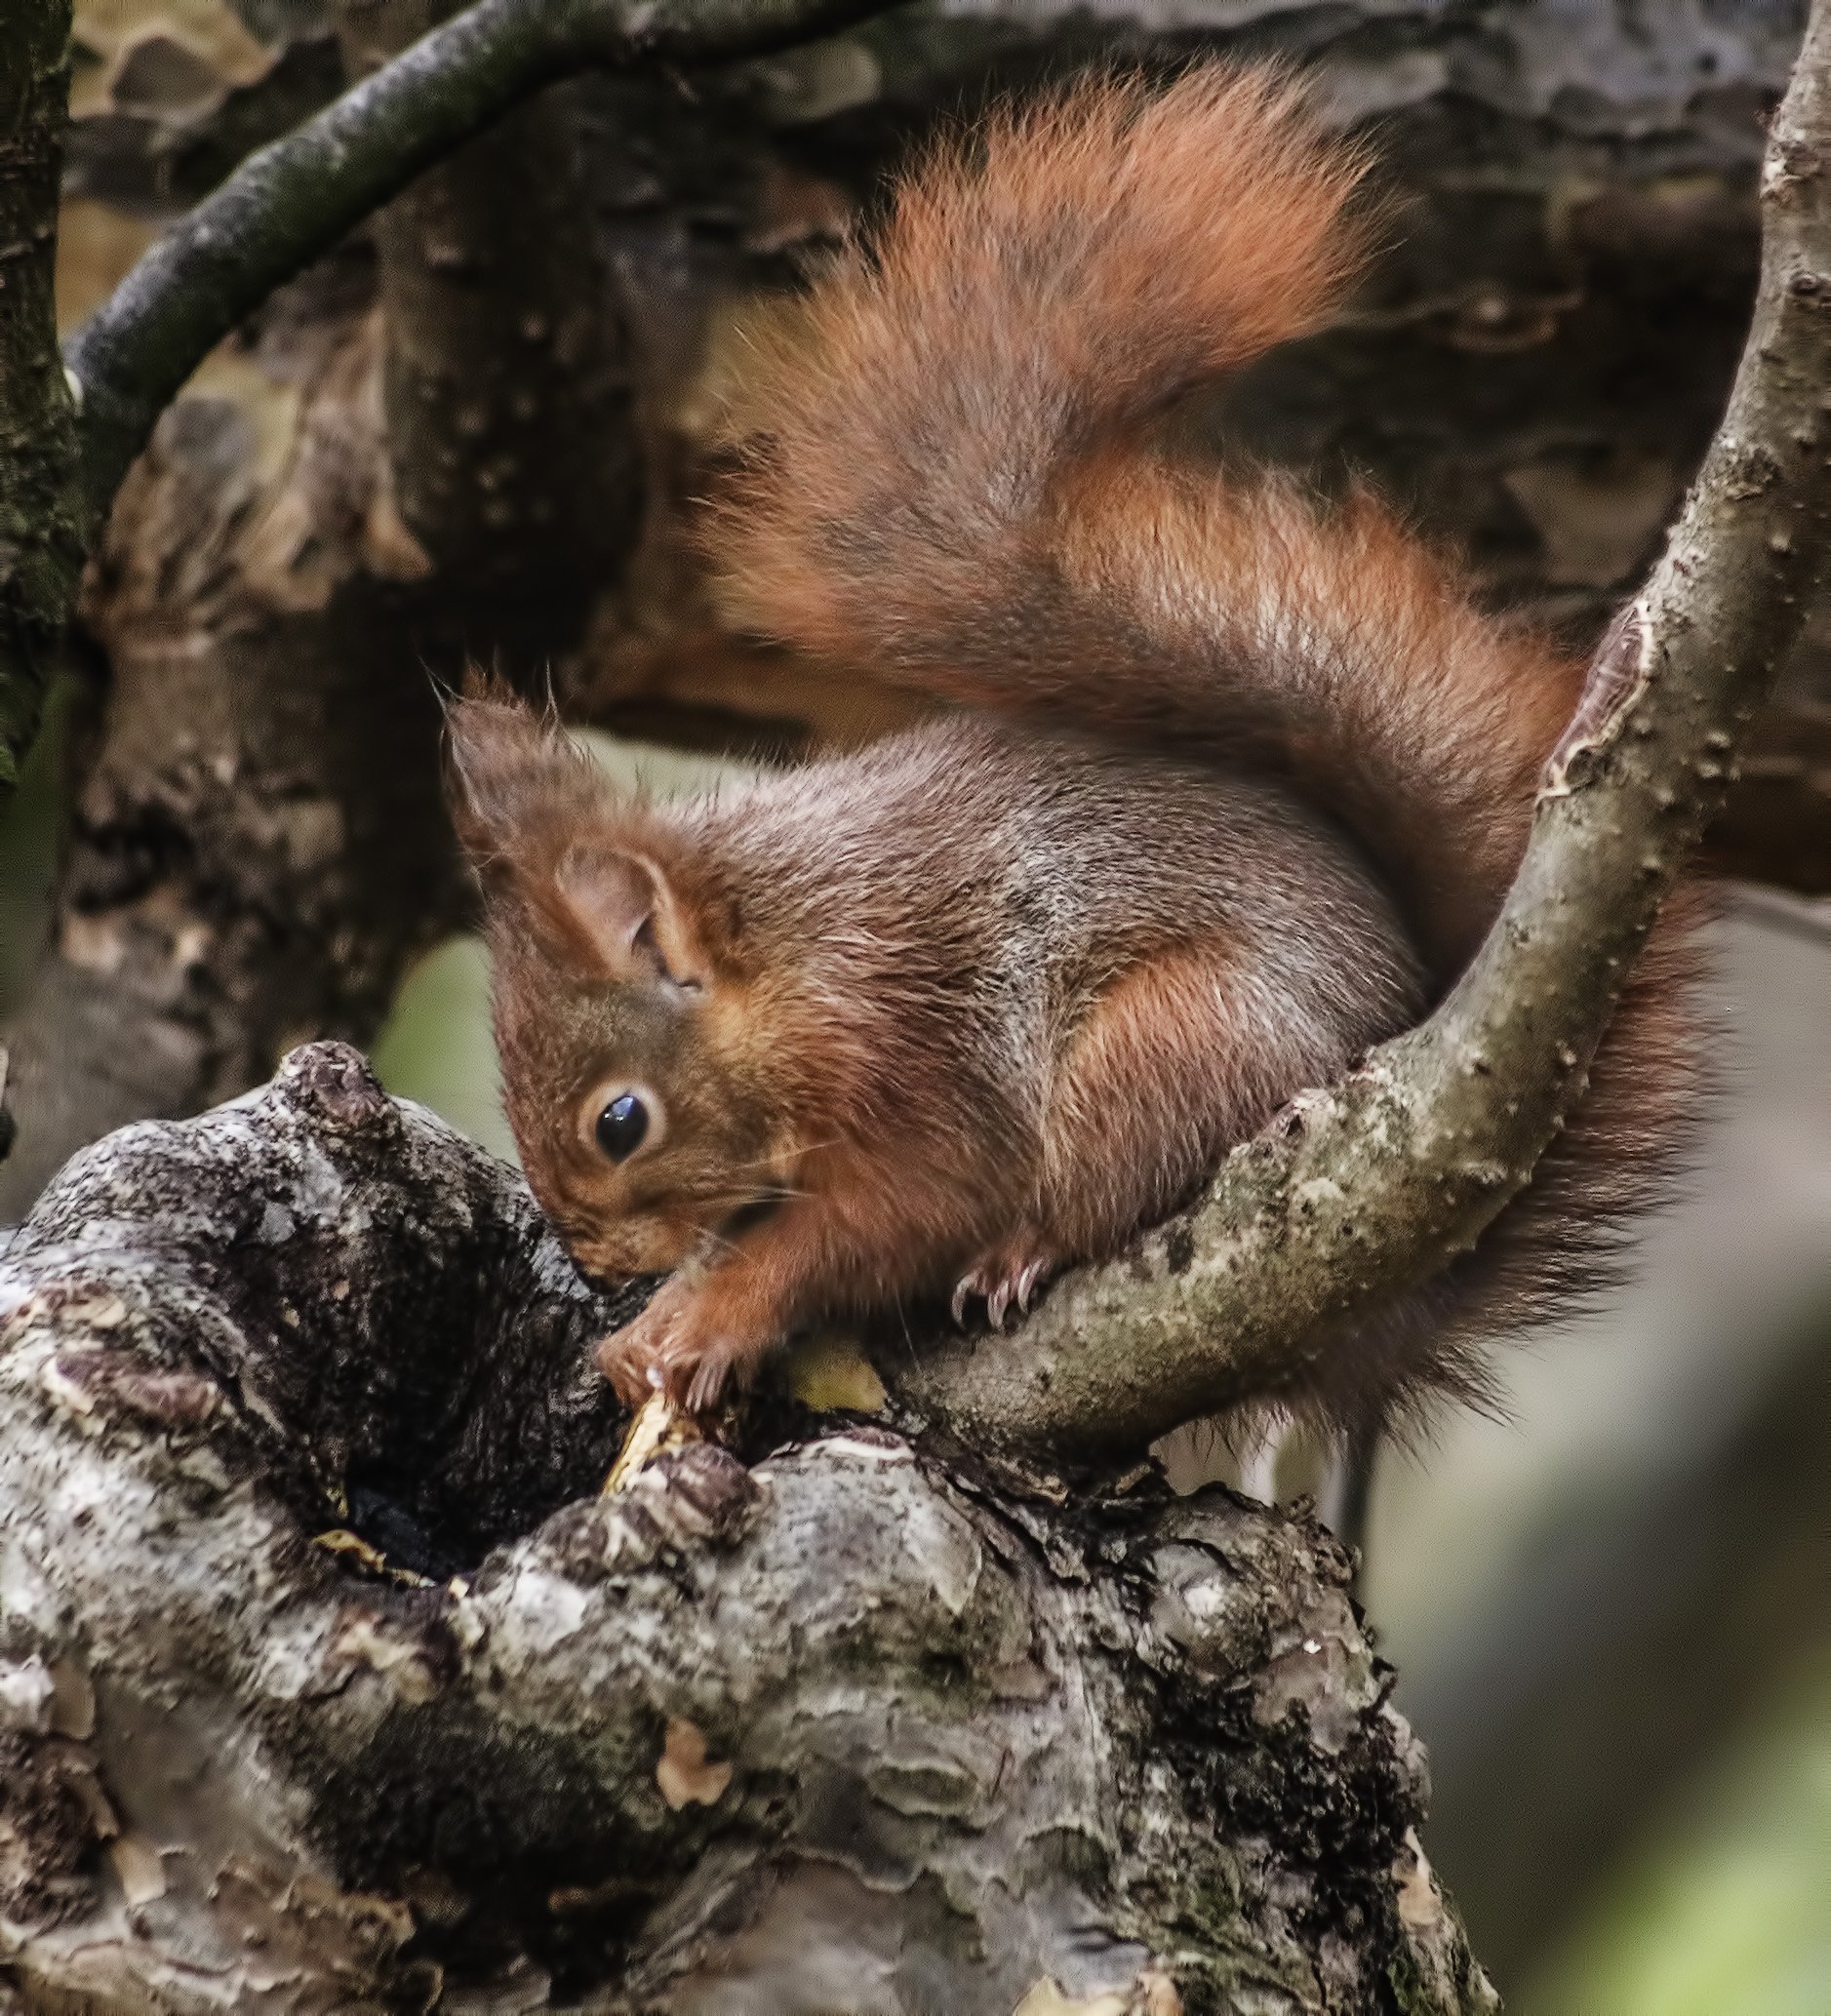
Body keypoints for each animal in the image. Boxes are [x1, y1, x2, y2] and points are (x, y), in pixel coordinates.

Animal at [449, 70, 1709, 1427]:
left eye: (619, 1121)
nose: (593, 1263)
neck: (783, 950)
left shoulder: (908, 1043)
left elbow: (889, 1212)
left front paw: (710, 1314)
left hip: (1179, 1047)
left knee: (1094, 1188)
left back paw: (1022, 1253)